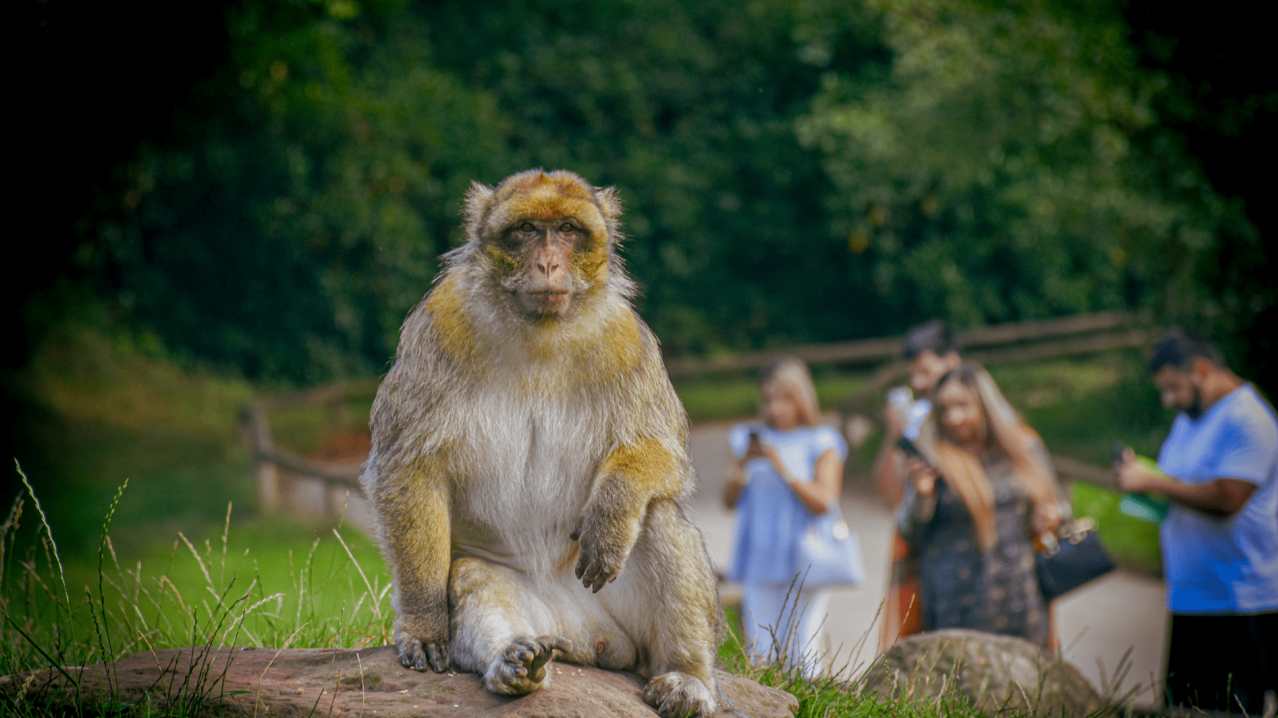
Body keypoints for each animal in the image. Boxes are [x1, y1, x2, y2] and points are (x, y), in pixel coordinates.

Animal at [359, 169, 721, 717]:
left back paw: (687, 676)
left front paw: (612, 512)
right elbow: (410, 466)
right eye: (527, 230)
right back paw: (515, 664)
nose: (548, 264)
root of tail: (585, 636)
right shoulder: (440, 324)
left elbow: (665, 452)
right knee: (472, 577)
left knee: (658, 516)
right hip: (548, 622)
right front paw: (423, 623)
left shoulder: (627, 339)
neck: (540, 332)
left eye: (568, 230)